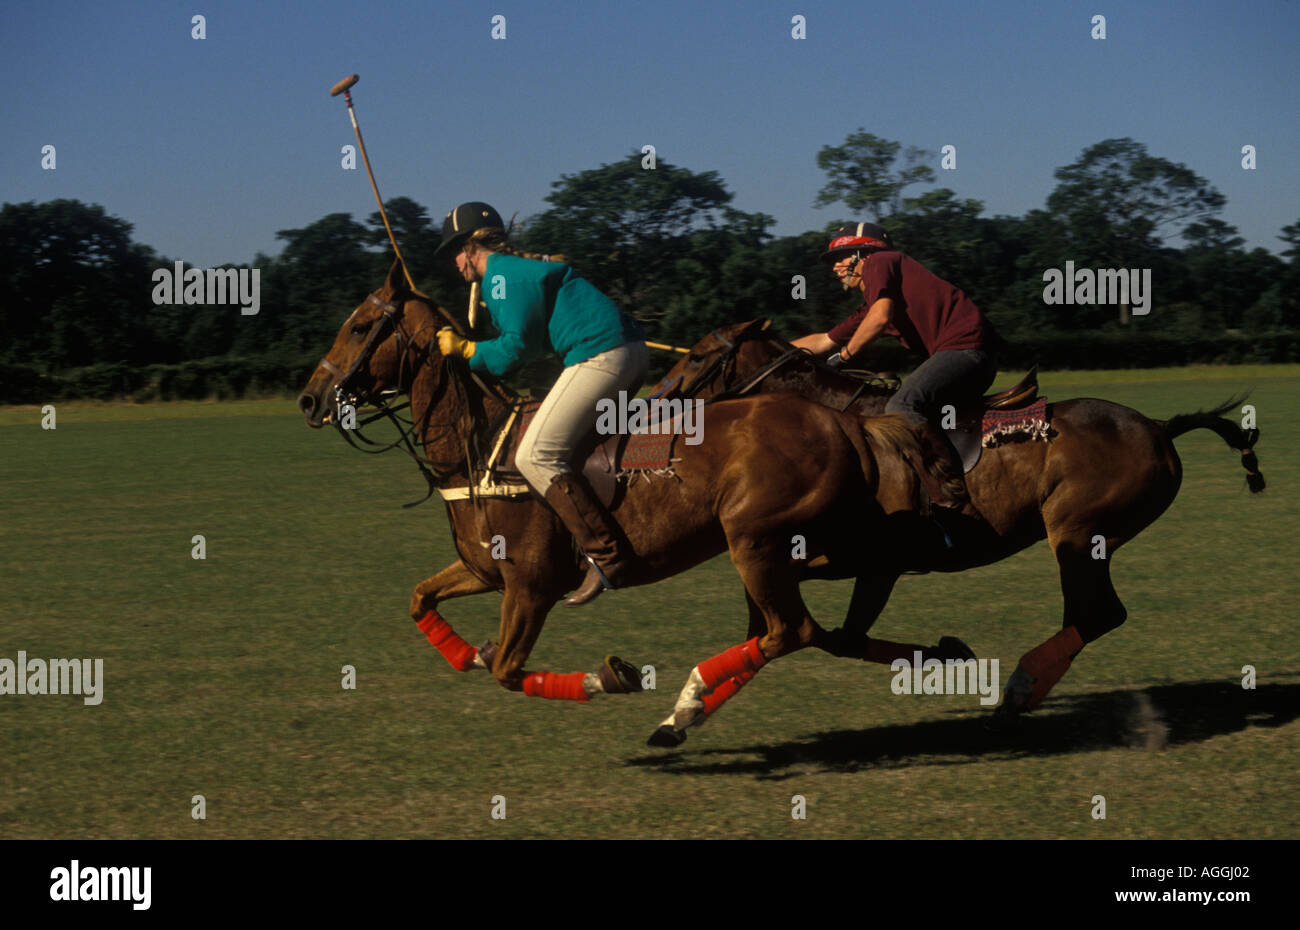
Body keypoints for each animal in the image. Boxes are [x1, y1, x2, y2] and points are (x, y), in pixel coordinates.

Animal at [299, 265, 961, 744]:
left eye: (360, 326)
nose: (310, 400)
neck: (478, 447)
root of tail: (846, 422)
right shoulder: (485, 570)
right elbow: (421, 600)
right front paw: (470, 652)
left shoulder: (531, 585)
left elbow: (509, 670)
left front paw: (611, 677)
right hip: (779, 548)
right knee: (813, 628)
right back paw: (940, 653)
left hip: (754, 542)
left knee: (793, 629)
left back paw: (687, 706)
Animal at [655, 319, 1263, 717]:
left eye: (697, 354)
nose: (654, 400)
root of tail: (1160, 427)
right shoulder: (815, 555)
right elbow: (796, 629)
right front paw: (687, 709)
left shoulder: (875, 561)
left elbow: (832, 635)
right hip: (1086, 538)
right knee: (1092, 614)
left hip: (1077, 532)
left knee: (1098, 613)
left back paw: (1018, 688)